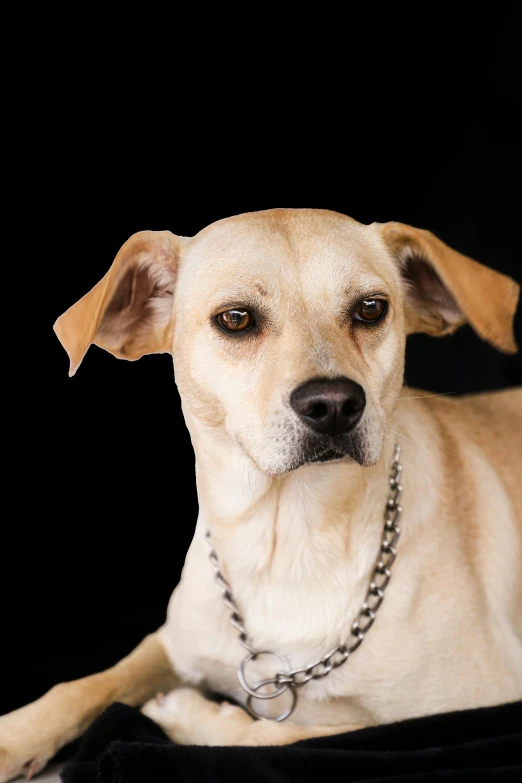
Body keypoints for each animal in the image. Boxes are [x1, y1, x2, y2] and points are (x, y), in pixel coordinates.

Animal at [1, 210, 520, 783]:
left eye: (370, 309)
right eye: (235, 319)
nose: (334, 403)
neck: (285, 539)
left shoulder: (468, 712)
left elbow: (292, 733)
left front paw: (186, 713)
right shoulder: (173, 641)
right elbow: (88, 684)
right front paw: (14, 736)